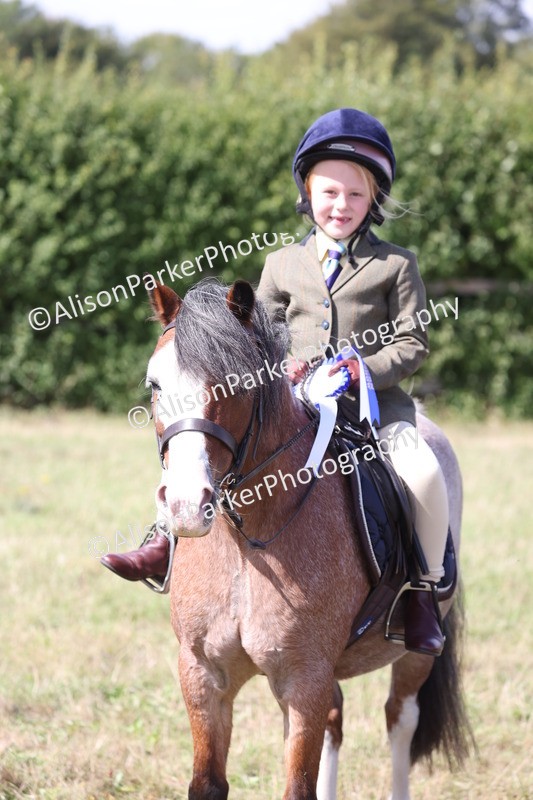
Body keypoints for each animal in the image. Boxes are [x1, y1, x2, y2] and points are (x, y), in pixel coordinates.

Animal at [144, 277, 471, 800]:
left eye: (237, 384)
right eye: (155, 385)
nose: (185, 504)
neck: (247, 547)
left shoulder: (304, 679)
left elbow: (298, 784)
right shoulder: (203, 674)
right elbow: (209, 783)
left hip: (414, 651)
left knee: (400, 719)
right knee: (338, 721)